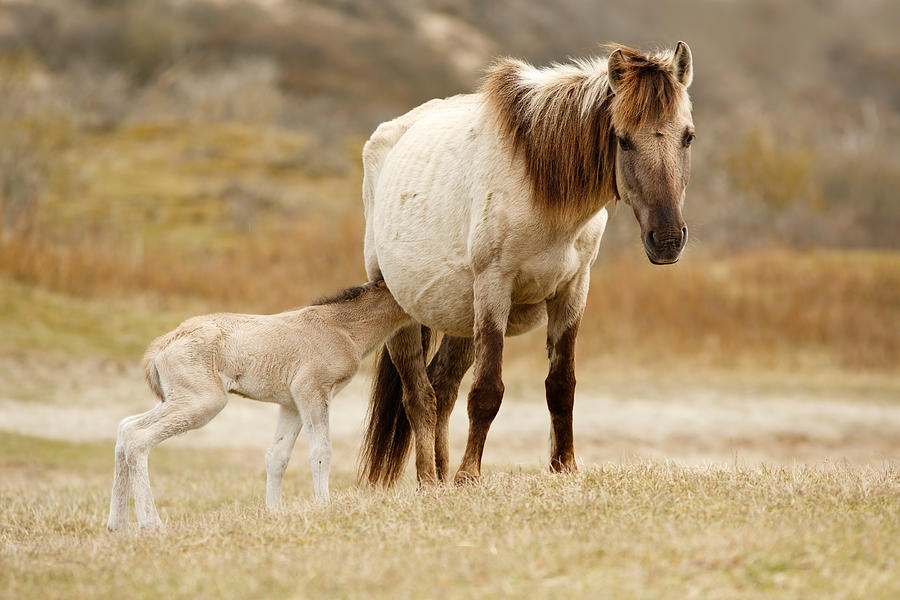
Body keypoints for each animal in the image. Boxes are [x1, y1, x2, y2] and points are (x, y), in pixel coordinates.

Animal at [108, 280, 412, 528]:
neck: (342, 328)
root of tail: (161, 346)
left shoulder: (291, 403)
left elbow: (277, 456)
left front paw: (273, 513)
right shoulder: (312, 391)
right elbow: (321, 452)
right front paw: (325, 507)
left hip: (180, 398)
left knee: (124, 427)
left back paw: (117, 527)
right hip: (202, 401)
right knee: (137, 435)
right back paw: (150, 524)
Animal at [358, 42, 696, 486]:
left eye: (688, 137)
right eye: (622, 141)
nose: (667, 239)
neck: (542, 189)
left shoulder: (573, 291)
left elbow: (561, 385)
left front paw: (564, 467)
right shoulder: (493, 288)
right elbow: (487, 391)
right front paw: (470, 475)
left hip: (460, 318)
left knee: (442, 387)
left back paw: (442, 478)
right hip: (401, 309)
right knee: (419, 396)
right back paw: (430, 481)